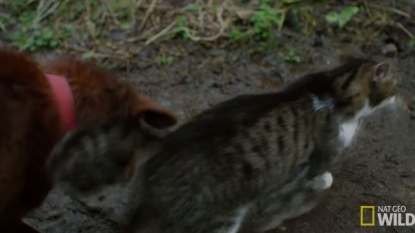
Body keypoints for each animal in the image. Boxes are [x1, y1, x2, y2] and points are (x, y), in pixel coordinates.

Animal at [48, 57, 400, 233]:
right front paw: (320, 182)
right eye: (395, 84)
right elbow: (319, 170)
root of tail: (167, 144)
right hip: (220, 218)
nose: (401, 95)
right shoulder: (324, 150)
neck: (333, 90)